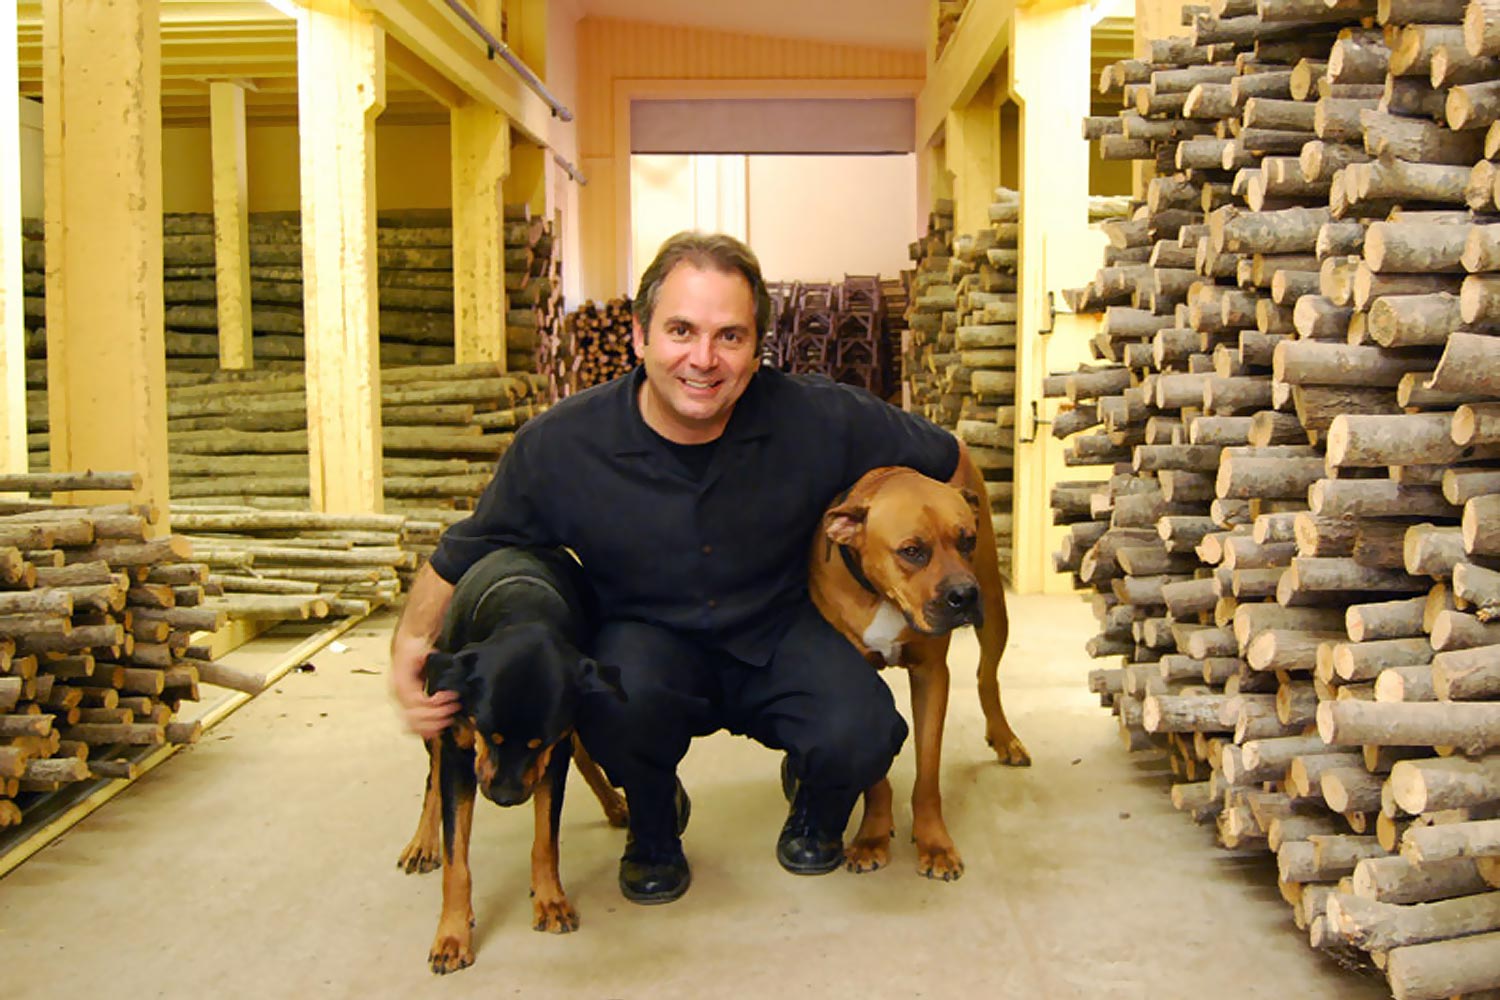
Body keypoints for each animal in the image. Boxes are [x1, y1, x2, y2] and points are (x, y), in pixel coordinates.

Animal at [395, 547, 628, 975]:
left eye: (538, 742)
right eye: (490, 734)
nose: (504, 797)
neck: (524, 605)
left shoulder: (555, 748)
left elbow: (546, 841)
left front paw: (551, 900)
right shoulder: (459, 746)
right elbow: (456, 860)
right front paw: (452, 935)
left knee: (584, 753)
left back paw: (614, 804)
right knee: (432, 779)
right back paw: (422, 844)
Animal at [809, 455, 1029, 881]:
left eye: (966, 540)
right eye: (912, 551)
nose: (964, 595)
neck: (883, 597)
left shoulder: (931, 674)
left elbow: (927, 770)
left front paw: (933, 843)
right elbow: (875, 778)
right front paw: (872, 836)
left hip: (995, 607)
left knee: (986, 677)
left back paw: (1004, 737)